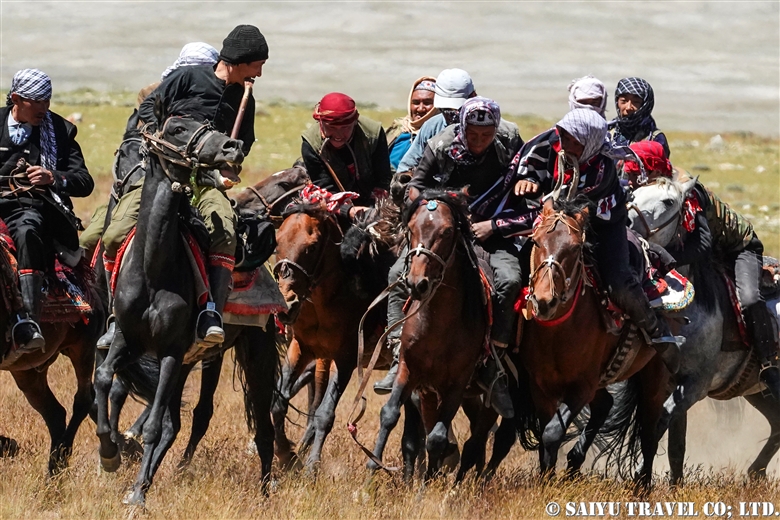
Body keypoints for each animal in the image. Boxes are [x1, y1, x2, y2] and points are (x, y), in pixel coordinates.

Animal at [93, 103, 247, 506]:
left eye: (213, 124)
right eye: (177, 127)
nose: (233, 146)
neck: (153, 268)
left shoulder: (171, 354)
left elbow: (153, 425)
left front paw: (136, 493)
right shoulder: (126, 339)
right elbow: (104, 378)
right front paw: (109, 453)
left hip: (196, 360)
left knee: (172, 422)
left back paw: (145, 482)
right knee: (169, 420)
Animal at [368, 190, 488, 480]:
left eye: (447, 231)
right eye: (411, 228)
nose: (416, 283)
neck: (438, 327)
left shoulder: (457, 384)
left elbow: (436, 437)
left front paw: (428, 483)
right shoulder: (409, 371)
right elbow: (390, 415)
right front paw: (372, 468)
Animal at [512, 197, 672, 486]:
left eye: (576, 248)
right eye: (537, 241)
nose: (544, 301)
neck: (557, 334)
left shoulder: (581, 387)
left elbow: (552, 431)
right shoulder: (540, 387)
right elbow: (545, 433)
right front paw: (545, 478)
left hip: (654, 377)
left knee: (649, 434)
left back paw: (641, 487)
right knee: (605, 405)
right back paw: (575, 463)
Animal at [628, 176, 780, 484]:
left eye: (668, 201)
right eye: (634, 194)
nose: (627, 221)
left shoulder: (694, 385)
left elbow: (661, 423)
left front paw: (640, 476)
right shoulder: (667, 383)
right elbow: (675, 444)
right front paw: (668, 483)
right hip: (756, 391)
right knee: (777, 424)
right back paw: (755, 472)